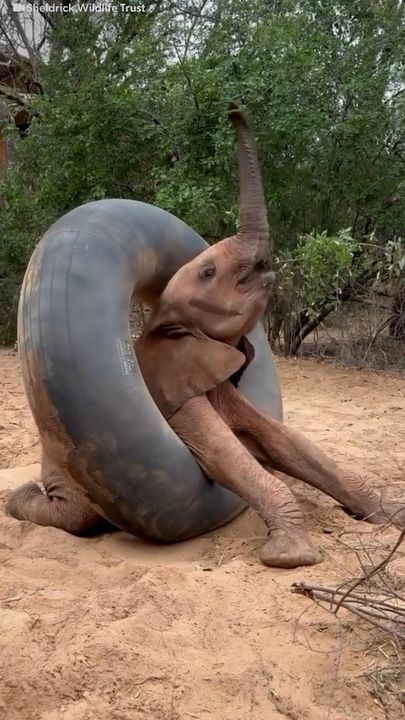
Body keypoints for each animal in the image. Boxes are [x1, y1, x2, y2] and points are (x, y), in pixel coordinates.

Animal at [6, 107, 404, 568]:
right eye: (209, 271)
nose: (233, 108)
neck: (166, 328)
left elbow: (281, 442)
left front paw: (392, 516)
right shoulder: (175, 394)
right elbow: (222, 454)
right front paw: (292, 559)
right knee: (73, 518)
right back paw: (19, 501)